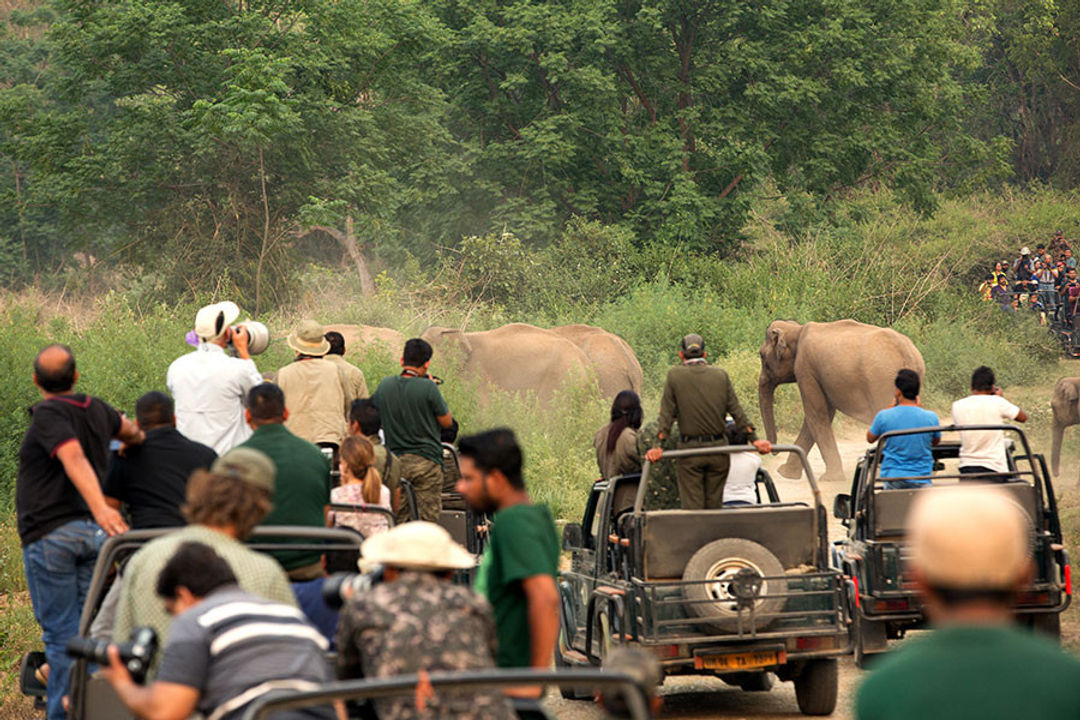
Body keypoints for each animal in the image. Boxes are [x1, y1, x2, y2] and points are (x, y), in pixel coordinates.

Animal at [760, 321, 928, 483]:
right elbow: (823, 414)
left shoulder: (806, 369)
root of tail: (907, 354)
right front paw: (785, 473)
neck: (796, 329)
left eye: (761, 356)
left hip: (882, 382)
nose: (772, 451)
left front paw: (829, 478)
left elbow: (816, 414)